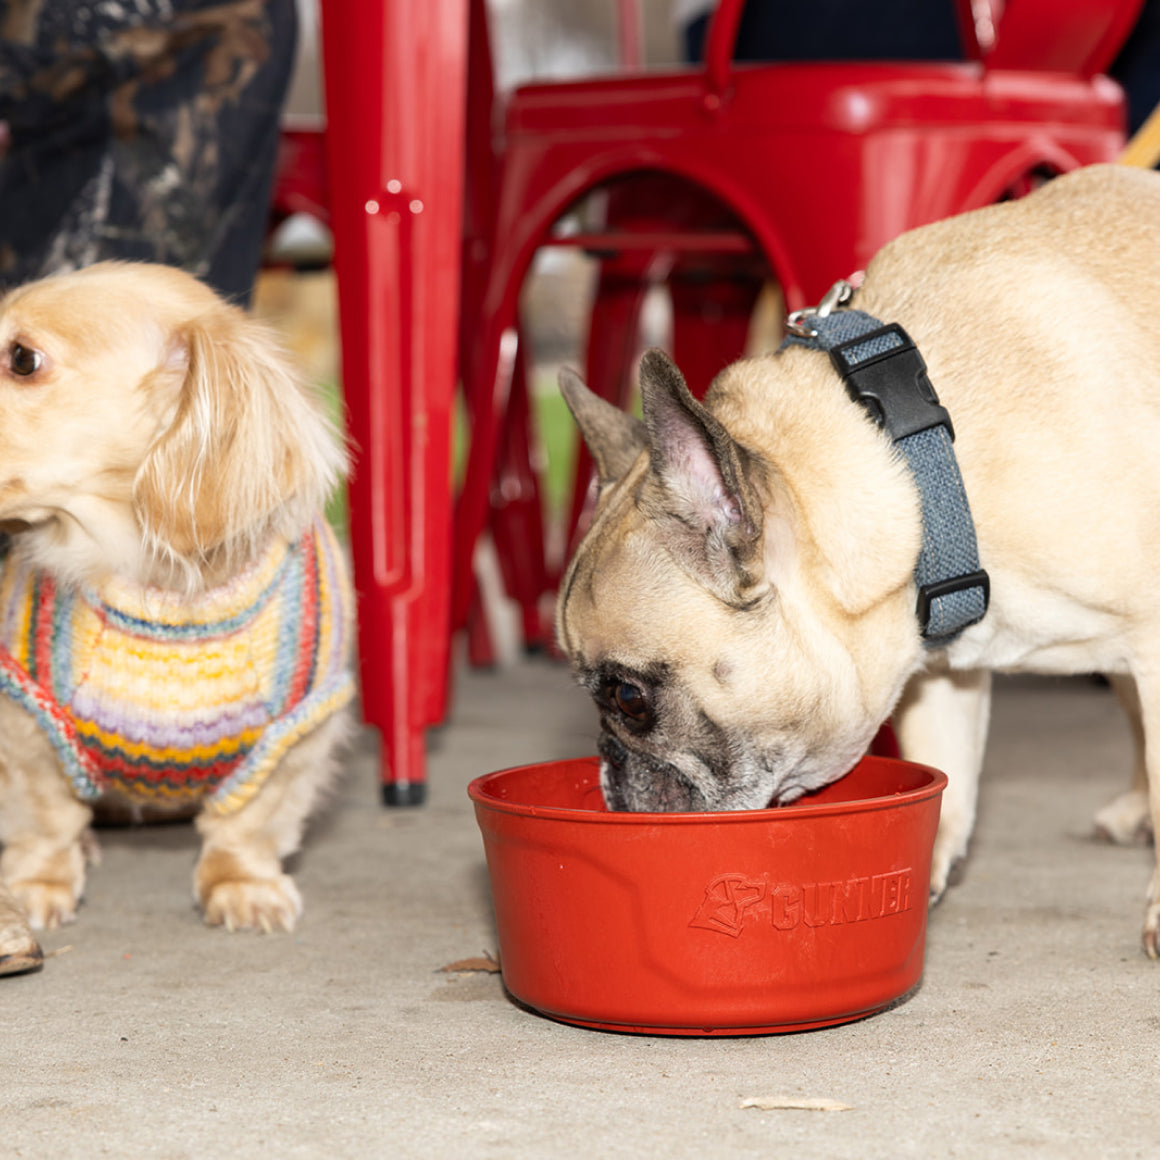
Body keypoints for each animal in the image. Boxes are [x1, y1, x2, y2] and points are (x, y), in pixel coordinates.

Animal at [0, 263, 352, 969]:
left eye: (22, 359)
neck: (161, 591)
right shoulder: (26, 725)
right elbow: (45, 818)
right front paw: (36, 887)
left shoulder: (296, 735)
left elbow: (249, 825)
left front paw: (243, 886)